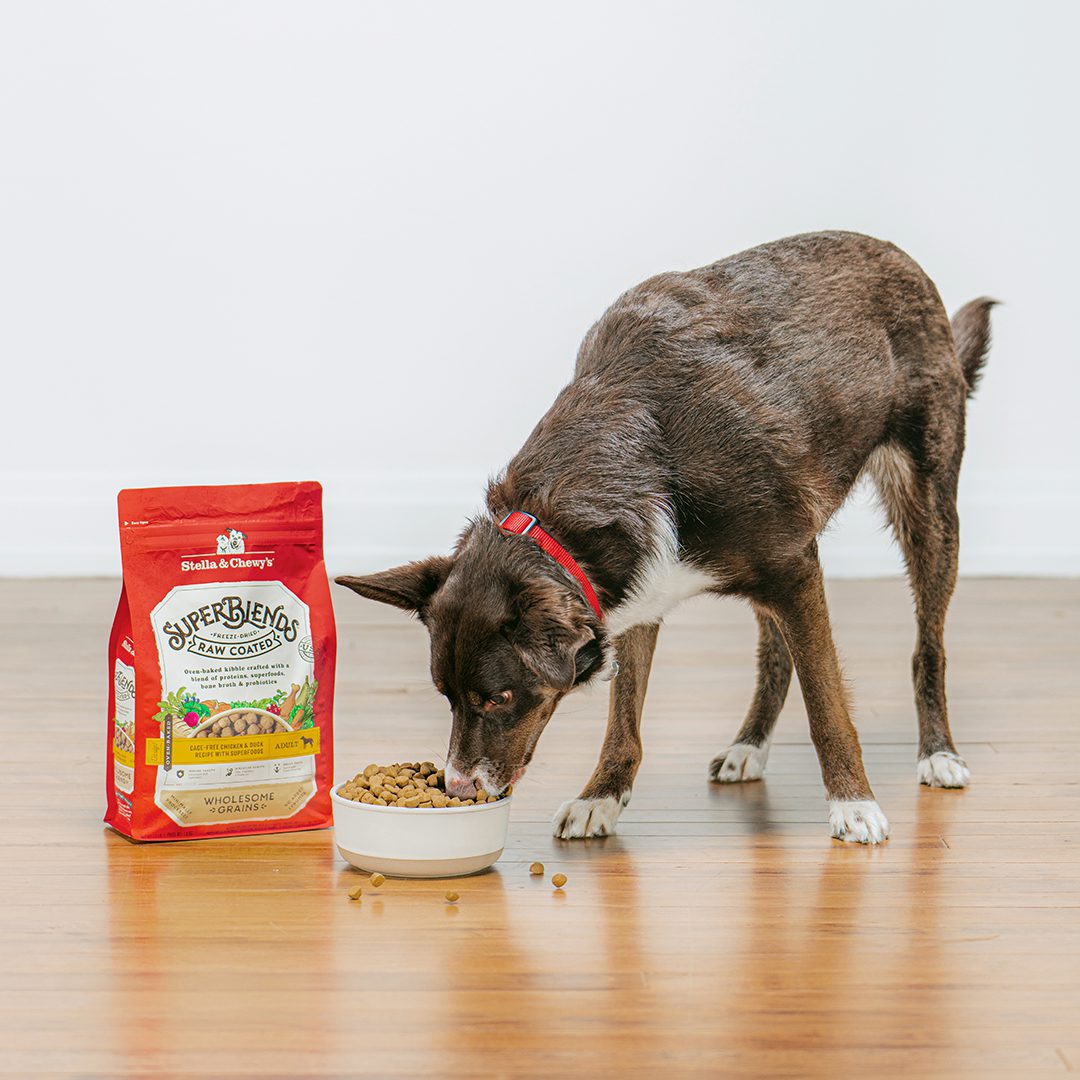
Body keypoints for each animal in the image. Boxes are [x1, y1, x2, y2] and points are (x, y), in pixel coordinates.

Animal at [339, 234, 993, 842]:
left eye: (497, 698)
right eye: (445, 695)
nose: (457, 788)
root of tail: (895, 255)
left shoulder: (793, 569)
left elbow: (827, 702)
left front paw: (853, 803)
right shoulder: (636, 590)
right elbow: (623, 717)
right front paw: (601, 796)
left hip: (927, 510)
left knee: (927, 646)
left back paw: (938, 752)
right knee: (775, 648)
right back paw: (749, 743)